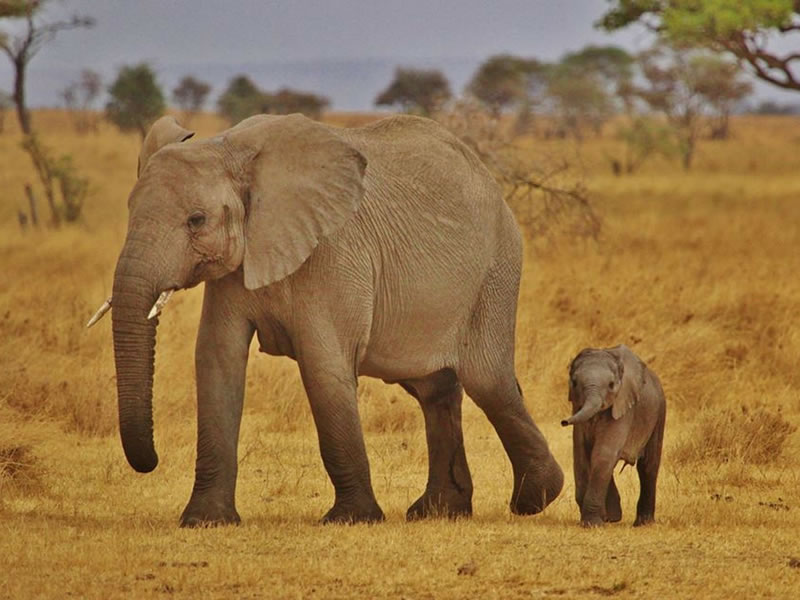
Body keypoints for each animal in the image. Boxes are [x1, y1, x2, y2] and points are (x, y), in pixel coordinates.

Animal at [89, 112, 564, 524]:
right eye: (130, 211)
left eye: (196, 220)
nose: (150, 462)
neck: (232, 150)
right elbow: (216, 360)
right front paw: (205, 521)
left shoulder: (334, 253)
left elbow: (323, 367)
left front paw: (352, 519)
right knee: (434, 389)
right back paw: (439, 511)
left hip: (496, 270)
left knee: (488, 381)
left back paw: (535, 499)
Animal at [564, 344, 668, 528]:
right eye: (574, 383)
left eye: (611, 385)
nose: (564, 422)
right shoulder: (577, 409)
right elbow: (582, 455)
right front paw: (602, 519)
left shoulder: (624, 407)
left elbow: (603, 453)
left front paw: (593, 524)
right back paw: (613, 517)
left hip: (659, 413)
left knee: (648, 466)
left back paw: (643, 523)